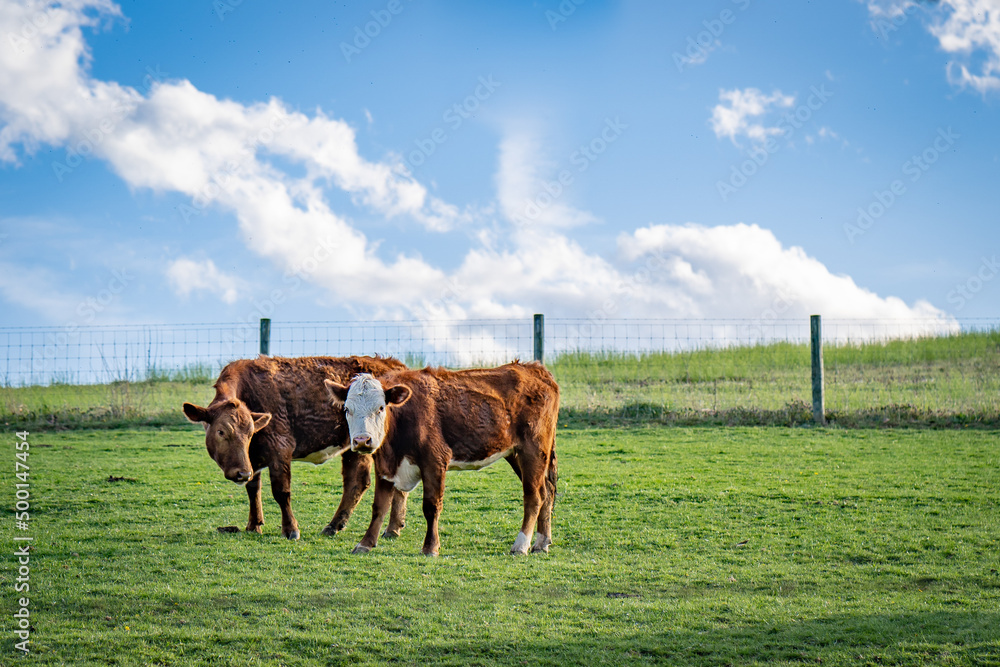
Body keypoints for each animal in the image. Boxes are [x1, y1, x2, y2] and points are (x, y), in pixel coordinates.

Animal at [182, 355, 410, 540]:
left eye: (249, 433)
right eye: (221, 432)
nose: (241, 473)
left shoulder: (279, 449)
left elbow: (281, 491)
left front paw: (290, 529)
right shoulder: (252, 458)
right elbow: (253, 488)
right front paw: (254, 525)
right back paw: (382, 527)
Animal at [323, 361, 559, 556]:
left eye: (380, 408)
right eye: (347, 409)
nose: (362, 440)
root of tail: (535, 369)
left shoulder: (434, 461)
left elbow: (431, 506)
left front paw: (430, 547)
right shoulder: (385, 465)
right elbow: (379, 507)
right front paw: (365, 543)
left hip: (533, 450)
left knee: (533, 497)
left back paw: (521, 545)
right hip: (516, 453)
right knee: (547, 492)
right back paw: (541, 542)